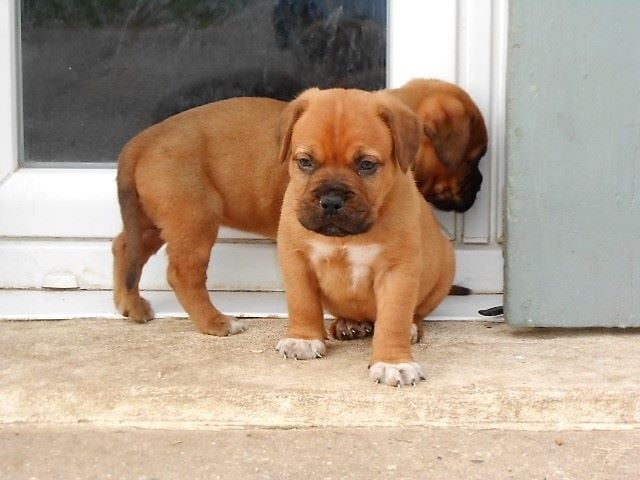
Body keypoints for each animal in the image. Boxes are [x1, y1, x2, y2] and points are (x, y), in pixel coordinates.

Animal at [114, 79, 484, 336]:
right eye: (473, 158)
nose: (479, 186)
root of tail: (142, 141)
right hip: (193, 221)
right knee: (182, 274)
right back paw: (214, 322)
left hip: (155, 220)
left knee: (125, 247)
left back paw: (129, 303)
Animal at [276, 87, 456, 386]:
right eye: (305, 162)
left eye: (367, 164)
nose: (331, 200)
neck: (345, 237)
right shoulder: (296, 259)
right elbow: (302, 302)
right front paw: (303, 339)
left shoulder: (397, 270)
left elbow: (393, 318)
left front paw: (394, 362)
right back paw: (349, 323)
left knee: (414, 313)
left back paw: (411, 327)